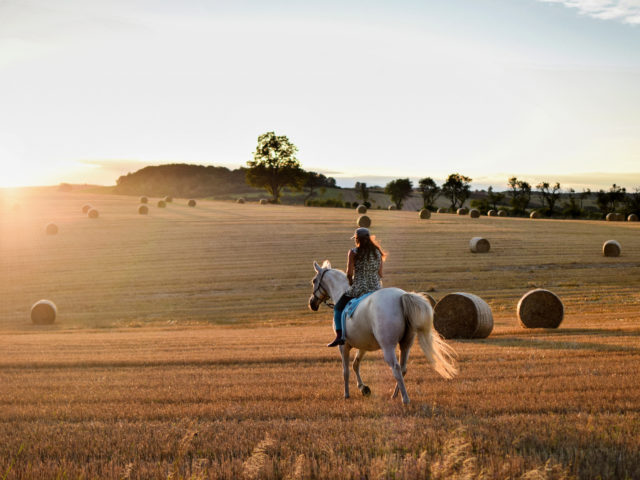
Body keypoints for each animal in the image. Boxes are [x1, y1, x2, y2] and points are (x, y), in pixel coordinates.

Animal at [308, 260, 458, 404]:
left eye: (314, 281)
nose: (312, 303)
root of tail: (402, 296)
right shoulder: (363, 346)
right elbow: (355, 364)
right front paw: (363, 388)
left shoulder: (343, 346)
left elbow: (345, 371)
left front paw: (346, 394)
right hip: (406, 344)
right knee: (403, 368)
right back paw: (395, 395)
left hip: (388, 347)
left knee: (396, 368)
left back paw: (405, 399)